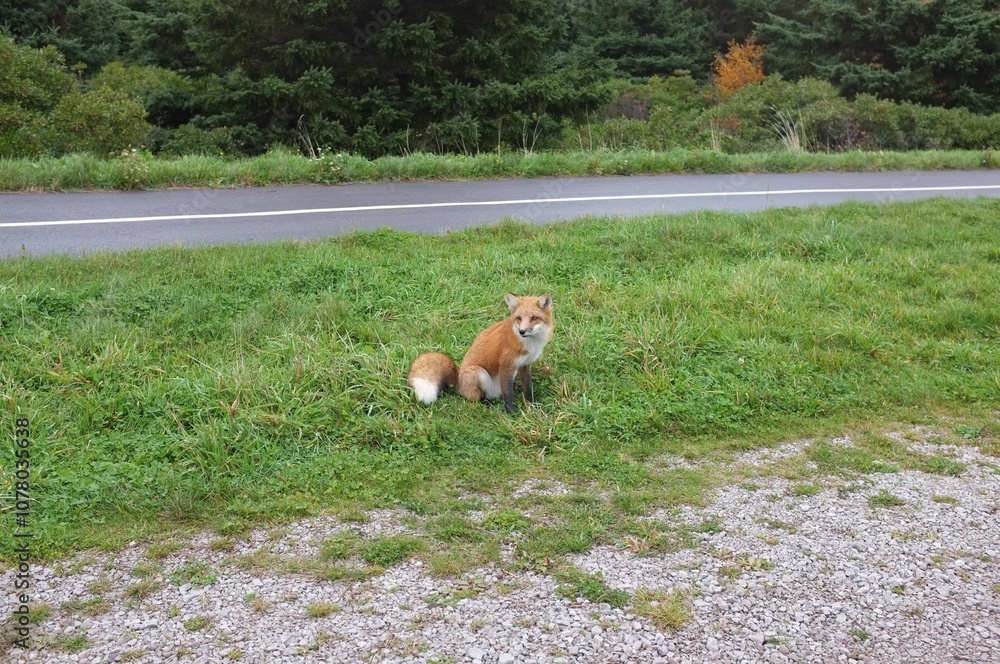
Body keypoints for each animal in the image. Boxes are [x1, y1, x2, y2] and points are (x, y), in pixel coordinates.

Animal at [407, 293, 554, 414]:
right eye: (519, 318)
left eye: (534, 318)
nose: (522, 331)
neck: (529, 344)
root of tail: (458, 378)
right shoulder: (506, 364)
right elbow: (508, 394)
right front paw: (512, 414)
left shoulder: (525, 364)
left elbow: (528, 388)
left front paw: (532, 405)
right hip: (478, 372)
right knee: (478, 398)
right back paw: (488, 404)